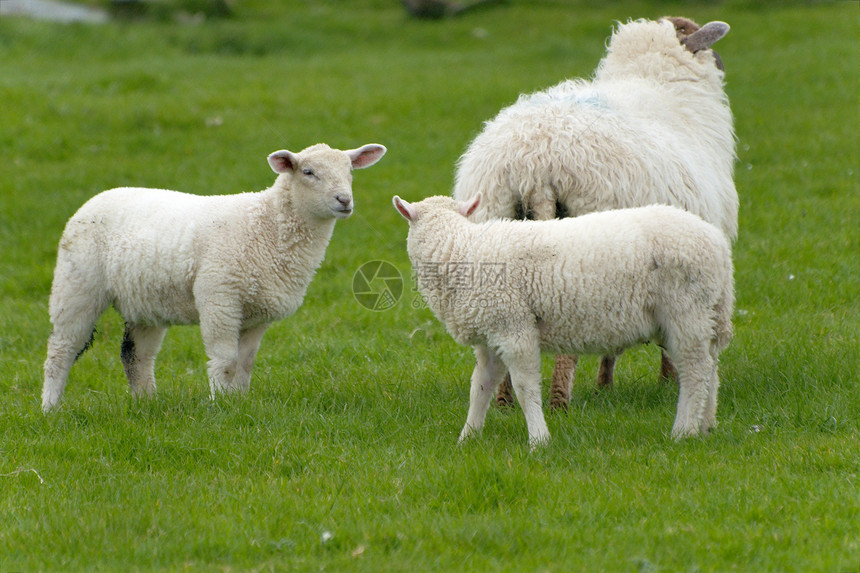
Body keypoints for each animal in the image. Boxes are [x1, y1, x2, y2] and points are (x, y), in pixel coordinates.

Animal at [42, 143, 386, 412]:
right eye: (308, 172)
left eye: (350, 171)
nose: (344, 200)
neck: (266, 225)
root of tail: (97, 198)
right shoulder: (220, 297)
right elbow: (226, 360)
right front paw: (220, 403)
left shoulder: (257, 313)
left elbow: (245, 363)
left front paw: (239, 403)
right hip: (77, 285)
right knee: (61, 351)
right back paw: (50, 409)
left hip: (145, 300)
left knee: (135, 355)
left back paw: (146, 404)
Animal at [394, 194, 736, 450]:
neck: (460, 249)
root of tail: (718, 244)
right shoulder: (491, 336)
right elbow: (480, 387)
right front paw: (467, 438)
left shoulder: (514, 328)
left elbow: (524, 387)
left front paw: (539, 440)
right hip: (702, 313)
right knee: (711, 368)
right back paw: (707, 425)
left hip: (686, 309)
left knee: (696, 371)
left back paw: (683, 431)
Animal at [454, 17, 736, 408]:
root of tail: (534, 161)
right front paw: (664, 380)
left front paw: (608, 384)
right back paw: (559, 400)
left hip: (494, 238)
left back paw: (506, 401)